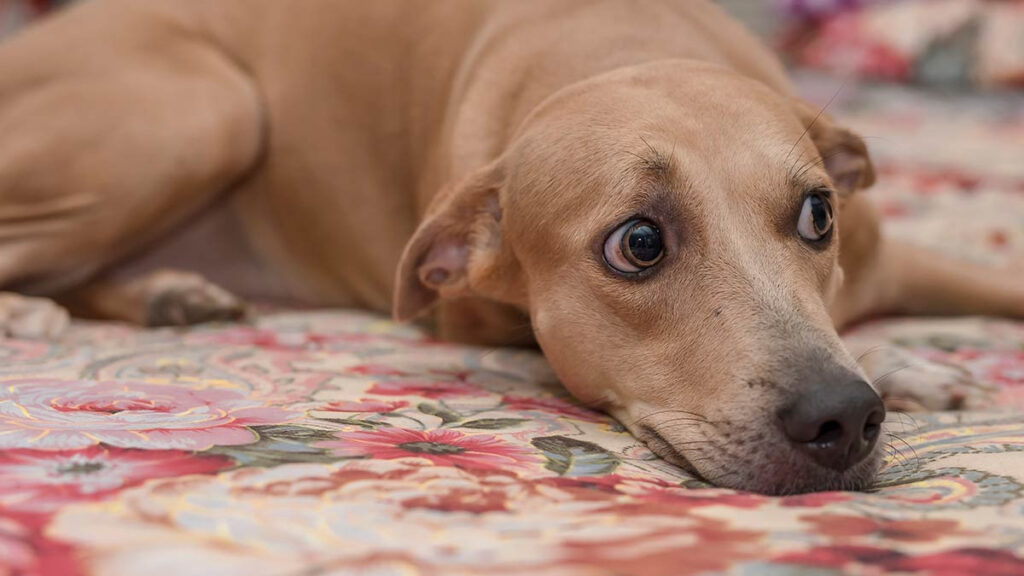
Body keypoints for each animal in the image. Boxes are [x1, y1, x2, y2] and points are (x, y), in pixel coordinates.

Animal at [0, 1, 1019, 494]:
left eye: (817, 216)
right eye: (638, 243)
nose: (844, 415)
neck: (618, 51)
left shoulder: (904, 260)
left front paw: (906, 362)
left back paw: (170, 293)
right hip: (205, 105)